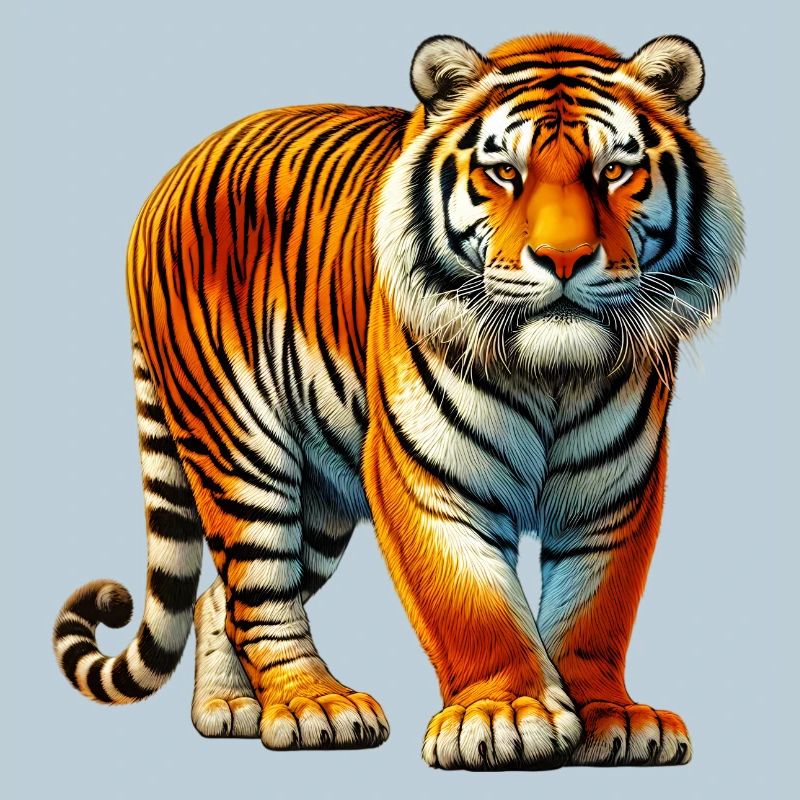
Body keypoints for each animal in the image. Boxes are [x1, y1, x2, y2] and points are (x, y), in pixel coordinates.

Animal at [53, 32, 743, 770]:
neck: (552, 373)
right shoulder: (428, 478)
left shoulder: (616, 493)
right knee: (260, 591)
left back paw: (229, 708)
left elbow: (596, 610)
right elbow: (471, 605)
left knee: (220, 598)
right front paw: (504, 715)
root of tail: (172, 176)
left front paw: (611, 717)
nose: (563, 258)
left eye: (614, 170)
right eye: (504, 172)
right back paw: (313, 705)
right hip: (238, 448)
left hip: (322, 499)